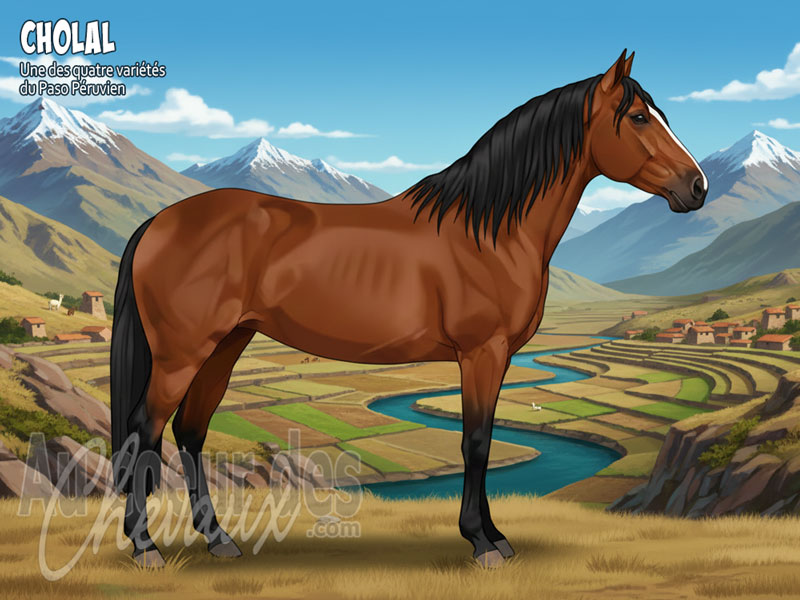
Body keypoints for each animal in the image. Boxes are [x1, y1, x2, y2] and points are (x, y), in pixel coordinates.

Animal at [110, 50, 707, 568]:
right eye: (638, 117)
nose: (697, 187)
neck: (490, 230)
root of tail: (159, 222)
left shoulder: (494, 358)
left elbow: (482, 439)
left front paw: (494, 536)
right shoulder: (482, 353)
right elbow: (476, 443)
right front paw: (482, 542)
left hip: (226, 345)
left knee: (191, 431)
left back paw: (218, 539)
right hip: (182, 354)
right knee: (146, 430)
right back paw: (145, 547)